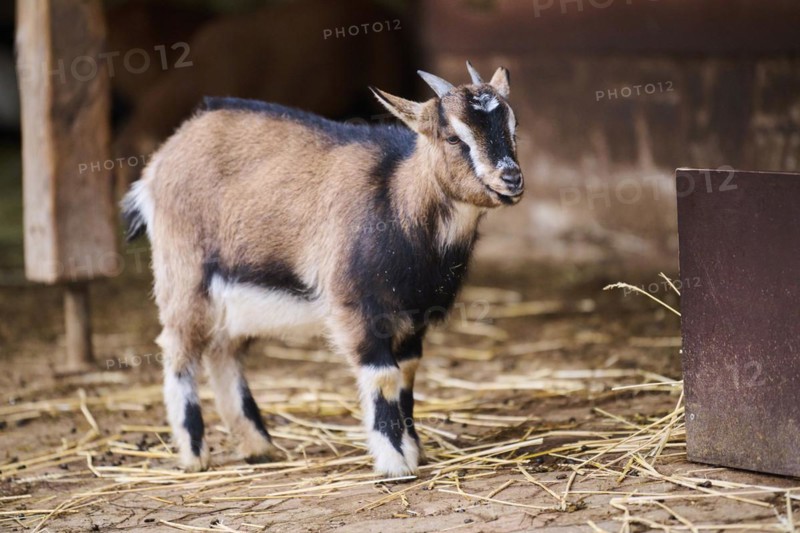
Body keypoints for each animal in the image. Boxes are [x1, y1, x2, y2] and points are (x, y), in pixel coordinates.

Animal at [122, 62, 524, 476]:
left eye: (513, 128)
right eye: (453, 138)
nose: (511, 179)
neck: (397, 197)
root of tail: (159, 164)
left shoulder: (414, 317)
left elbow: (407, 377)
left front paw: (416, 450)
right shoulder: (355, 307)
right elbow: (383, 378)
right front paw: (395, 463)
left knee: (223, 352)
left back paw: (258, 446)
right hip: (184, 274)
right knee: (179, 349)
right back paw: (194, 453)